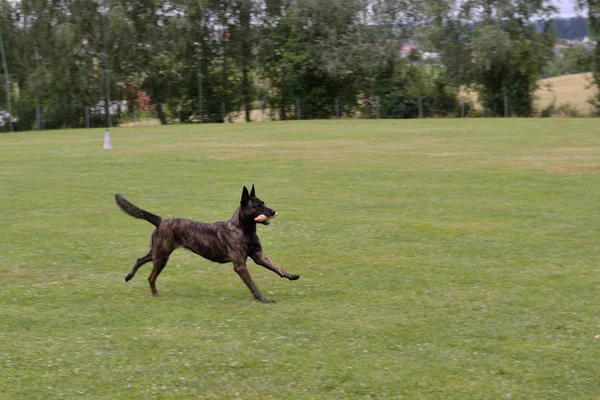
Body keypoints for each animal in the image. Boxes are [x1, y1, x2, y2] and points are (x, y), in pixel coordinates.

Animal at [113, 186, 298, 302]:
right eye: (258, 205)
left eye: (264, 203)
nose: (273, 211)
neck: (244, 230)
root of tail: (162, 220)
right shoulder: (240, 265)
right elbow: (252, 284)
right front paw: (263, 299)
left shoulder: (259, 256)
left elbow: (276, 267)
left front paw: (291, 275)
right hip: (162, 256)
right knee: (151, 276)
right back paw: (155, 294)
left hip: (157, 253)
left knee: (139, 260)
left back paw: (129, 276)